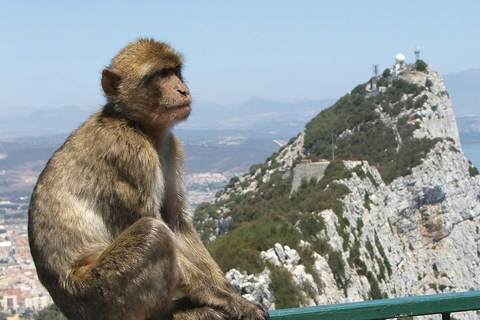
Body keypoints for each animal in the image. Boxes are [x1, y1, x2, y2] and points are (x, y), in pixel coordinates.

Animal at [29, 39, 270, 320]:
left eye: (175, 71)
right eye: (161, 75)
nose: (183, 89)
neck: (135, 124)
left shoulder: (170, 146)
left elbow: (177, 223)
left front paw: (230, 292)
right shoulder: (130, 155)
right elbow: (158, 226)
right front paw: (230, 301)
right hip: (102, 296)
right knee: (153, 234)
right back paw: (171, 313)